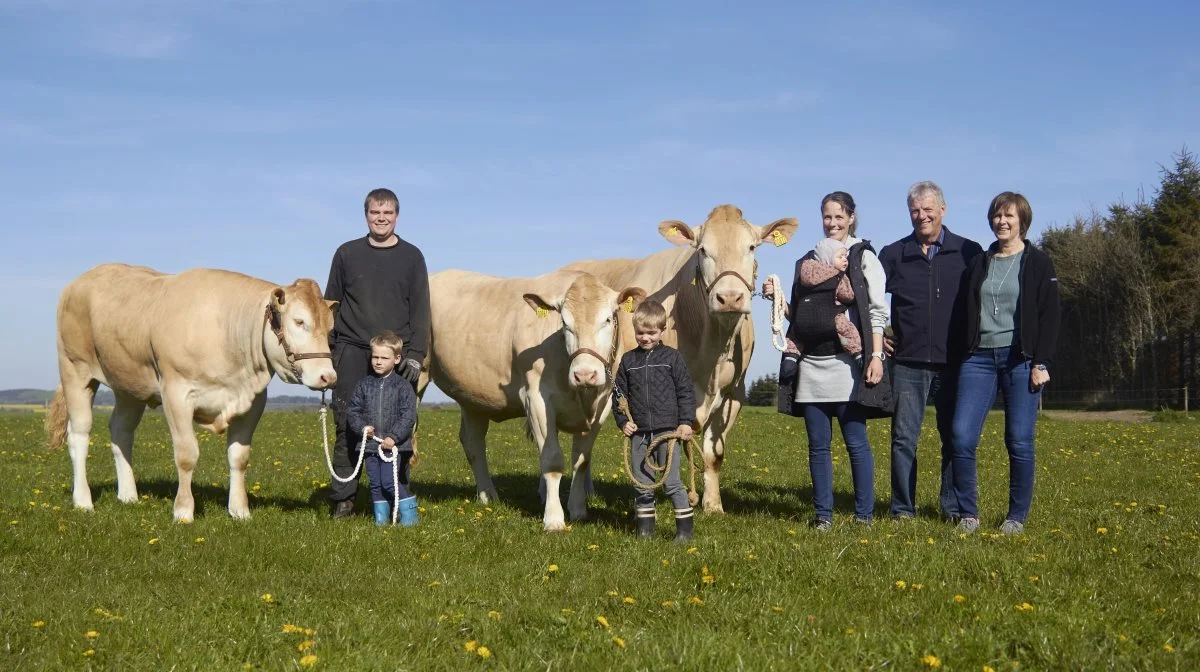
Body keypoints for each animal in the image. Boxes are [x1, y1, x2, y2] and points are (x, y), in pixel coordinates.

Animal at [46, 261, 338, 520]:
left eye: (330, 328)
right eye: (299, 321)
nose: (328, 376)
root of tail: (82, 279)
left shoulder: (254, 401)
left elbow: (239, 457)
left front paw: (240, 511)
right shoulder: (176, 393)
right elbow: (187, 455)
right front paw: (184, 511)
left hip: (128, 386)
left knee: (121, 431)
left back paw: (128, 495)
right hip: (75, 370)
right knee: (79, 434)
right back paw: (83, 501)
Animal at [420, 270, 648, 532]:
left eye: (608, 319)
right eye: (565, 324)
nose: (584, 374)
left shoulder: (602, 404)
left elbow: (581, 460)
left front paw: (578, 510)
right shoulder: (536, 399)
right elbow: (552, 460)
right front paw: (554, 518)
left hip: (473, 397)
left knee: (473, 443)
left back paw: (488, 495)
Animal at [564, 201, 796, 511]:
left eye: (751, 247)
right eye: (703, 250)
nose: (730, 298)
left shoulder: (734, 393)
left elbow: (714, 453)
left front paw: (713, 505)